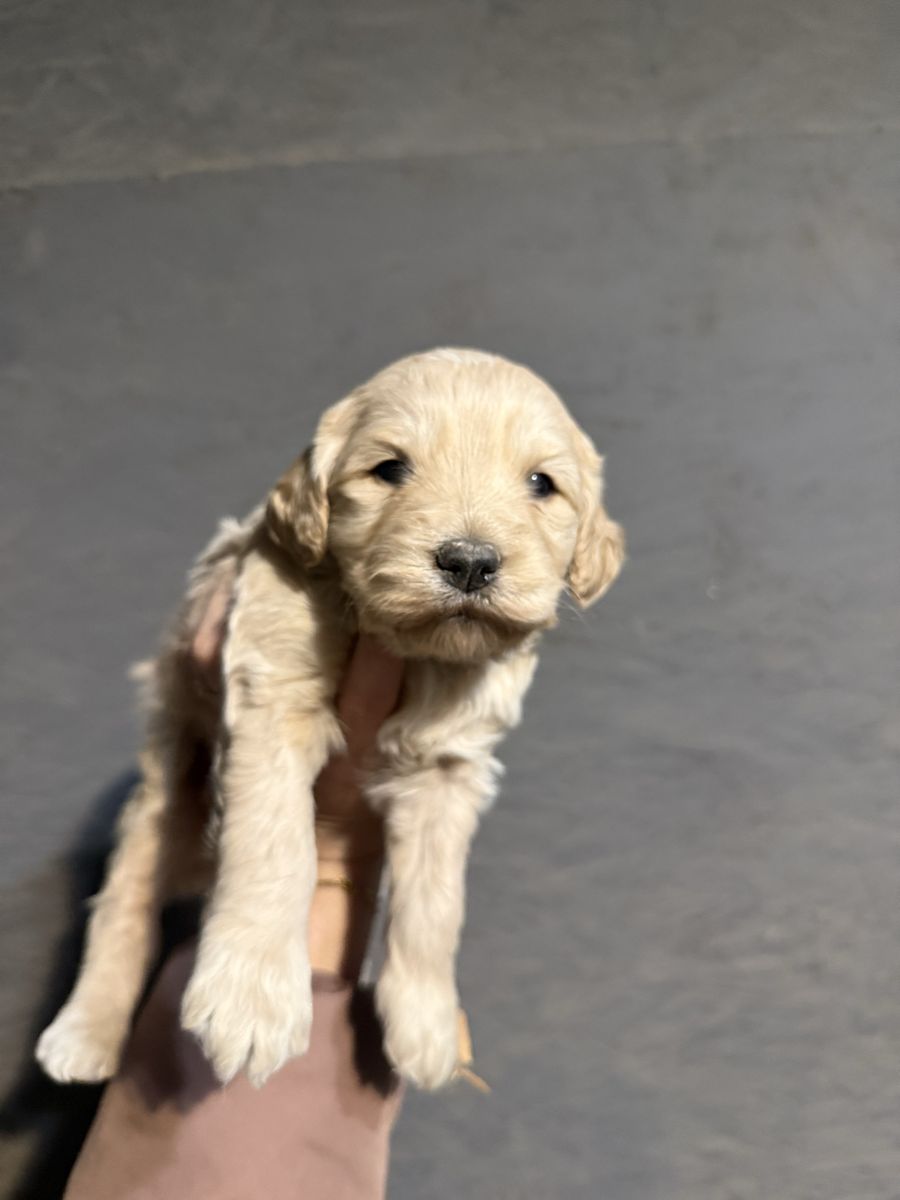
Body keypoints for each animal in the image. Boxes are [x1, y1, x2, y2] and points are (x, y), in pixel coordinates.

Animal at [35, 348, 624, 1091]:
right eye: (390, 469)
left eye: (542, 483)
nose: (469, 561)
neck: (412, 651)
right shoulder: (272, 688)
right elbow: (276, 844)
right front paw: (250, 1003)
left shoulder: (451, 763)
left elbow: (437, 899)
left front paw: (428, 1023)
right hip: (165, 780)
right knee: (125, 899)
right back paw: (84, 1033)